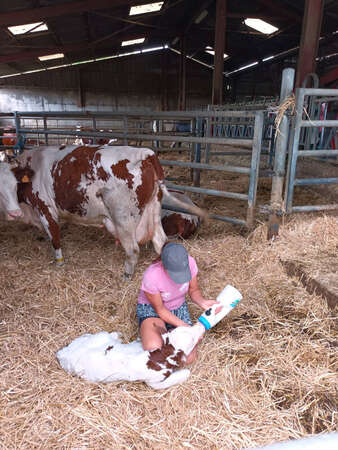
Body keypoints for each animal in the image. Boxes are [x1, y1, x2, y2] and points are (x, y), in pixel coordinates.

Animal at [4, 144, 206, 278]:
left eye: (13, 185)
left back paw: (127, 275)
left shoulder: (45, 207)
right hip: (154, 208)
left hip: (123, 218)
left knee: (133, 249)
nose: (13, 213)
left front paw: (59, 263)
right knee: (160, 241)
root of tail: (145, 153)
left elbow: (54, 236)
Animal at [56, 322, 205, 388]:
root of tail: (63, 354)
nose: (201, 327)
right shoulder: (154, 382)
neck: (159, 357)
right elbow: (184, 373)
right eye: (192, 340)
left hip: (97, 337)